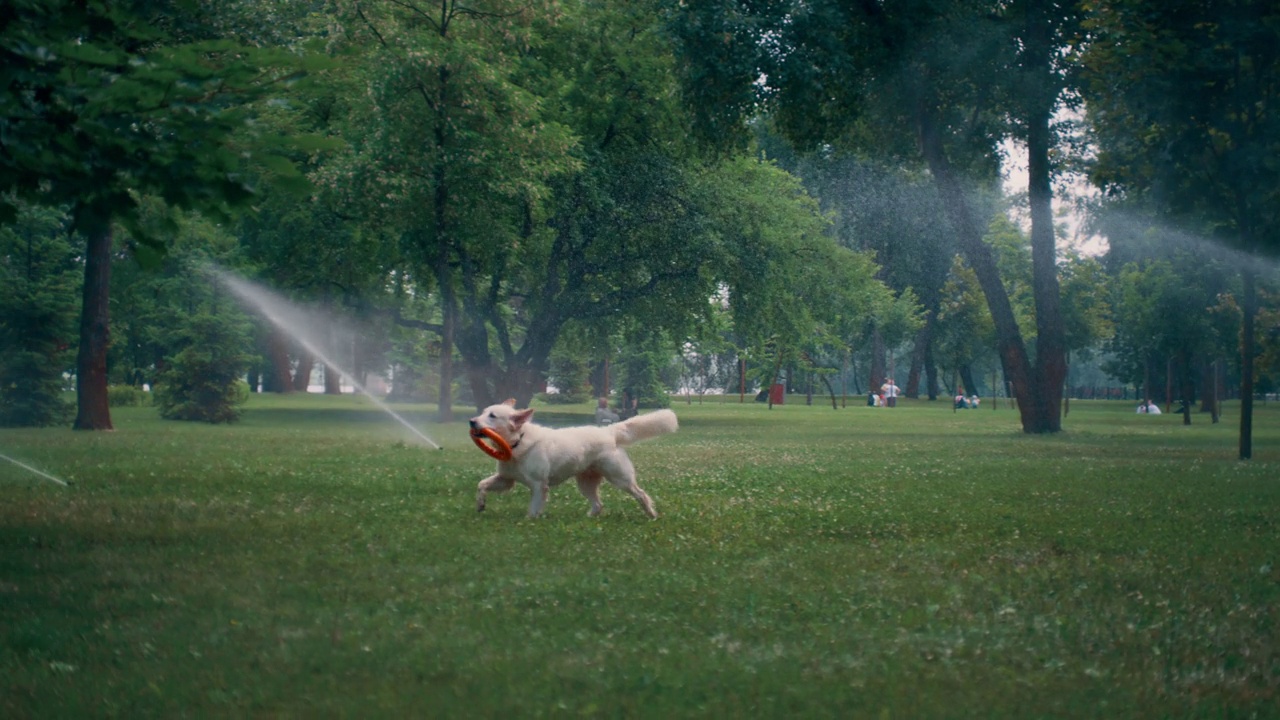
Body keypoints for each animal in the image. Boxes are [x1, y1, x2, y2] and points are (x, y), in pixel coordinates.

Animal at [465, 397, 675, 515]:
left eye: (492, 416)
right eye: (483, 412)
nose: (471, 421)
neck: (517, 442)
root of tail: (608, 431)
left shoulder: (538, 485)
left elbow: (533, 509)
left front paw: (530, 521)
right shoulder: (506, 479)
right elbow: (481, 485)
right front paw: (480, 505)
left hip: (620, 479)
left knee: (640, 494)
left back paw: (651, 514)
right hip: (585, 483)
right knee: (598, 505)